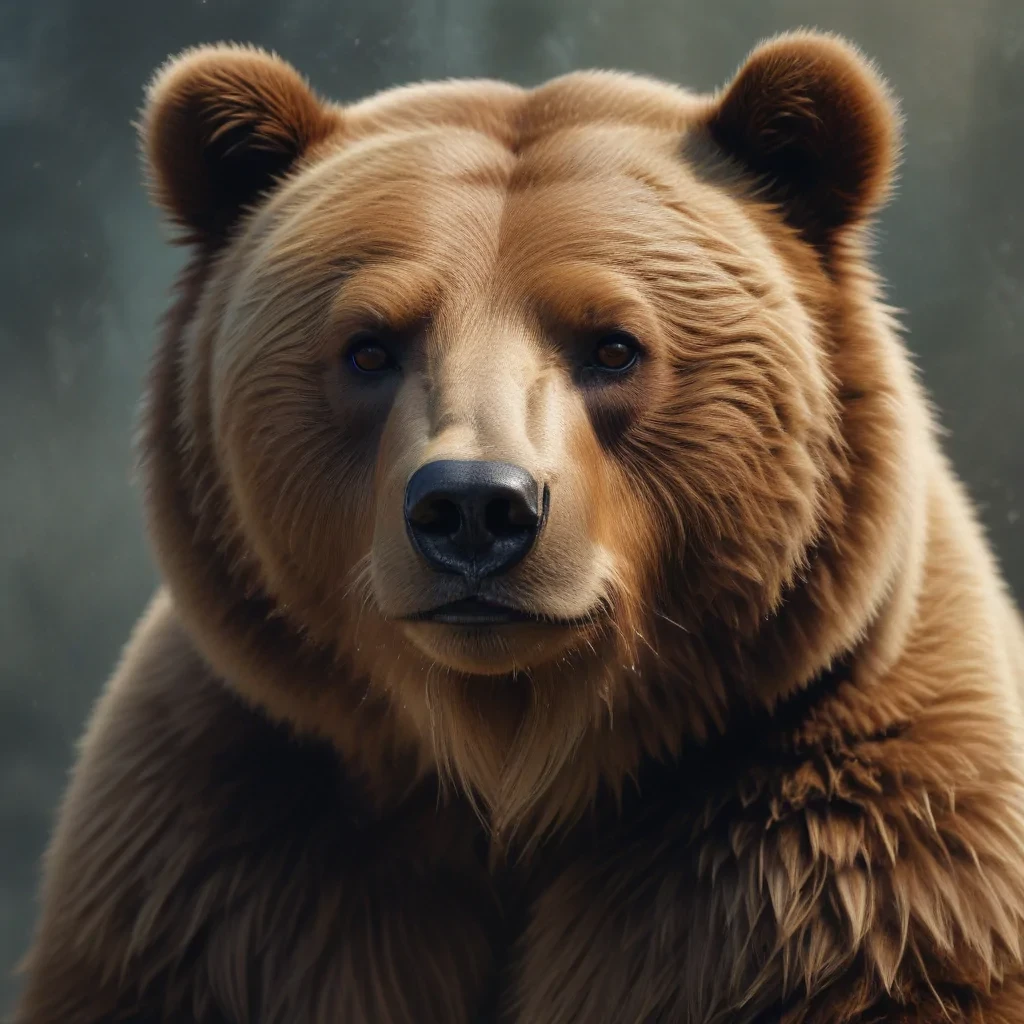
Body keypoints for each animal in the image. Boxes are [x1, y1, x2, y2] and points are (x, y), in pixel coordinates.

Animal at [13, 29, 1024, 1024]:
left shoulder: (831, 862)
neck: (508, 766)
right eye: (369, 347)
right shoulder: (231, 862)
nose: (473, 507)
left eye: (614, 345)